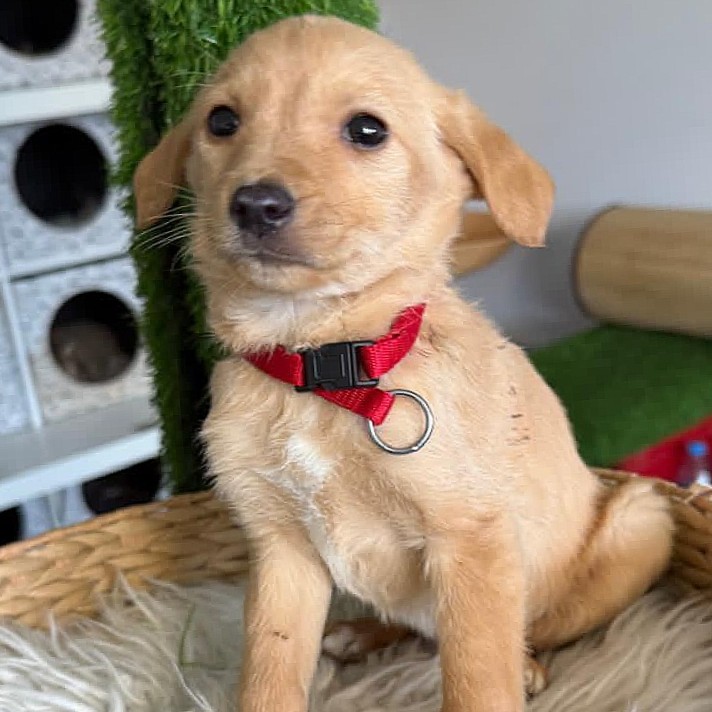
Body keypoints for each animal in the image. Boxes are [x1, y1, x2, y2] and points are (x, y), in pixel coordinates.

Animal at [133, 15, 674, 712]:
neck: (325, 368)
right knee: (414, 626)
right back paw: (361, 634)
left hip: (642, 520)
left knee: (535, 630)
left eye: (367, 130)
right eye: (222, 121)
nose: (254, 204)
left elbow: (478, 678)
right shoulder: (280, 549)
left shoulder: (471, 540)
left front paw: (499, 677)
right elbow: (268, 674)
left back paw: (527, 666)